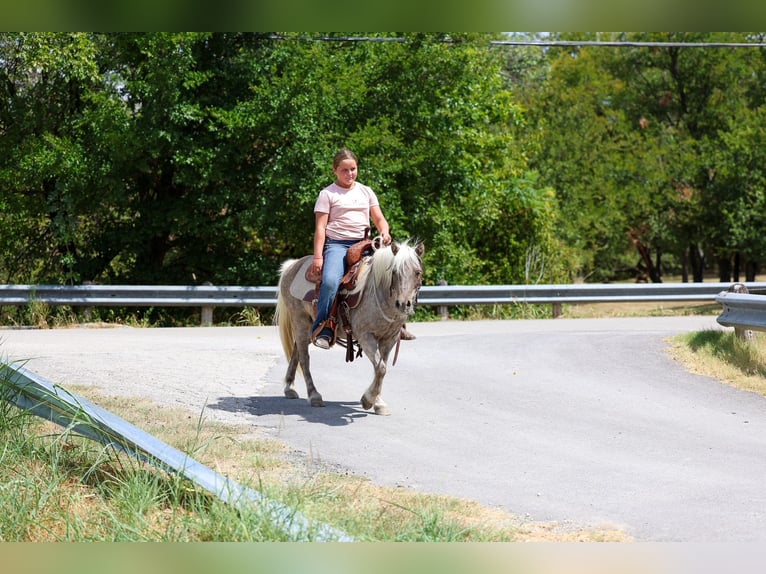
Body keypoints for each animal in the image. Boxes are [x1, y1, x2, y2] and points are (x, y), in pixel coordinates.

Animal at [274, 239, 424, 416]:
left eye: (418, 272)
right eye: (394, 272)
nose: (403, 304)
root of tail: (291, 266)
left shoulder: (389, 339)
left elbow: (381, 367)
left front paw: (378, 402)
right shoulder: (366, 336)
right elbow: (380, 368)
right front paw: (368, 400)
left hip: (308, 327)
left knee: (296, 351)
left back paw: (289, 387)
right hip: (300, 322)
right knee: (304, 359)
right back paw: (314, 395)